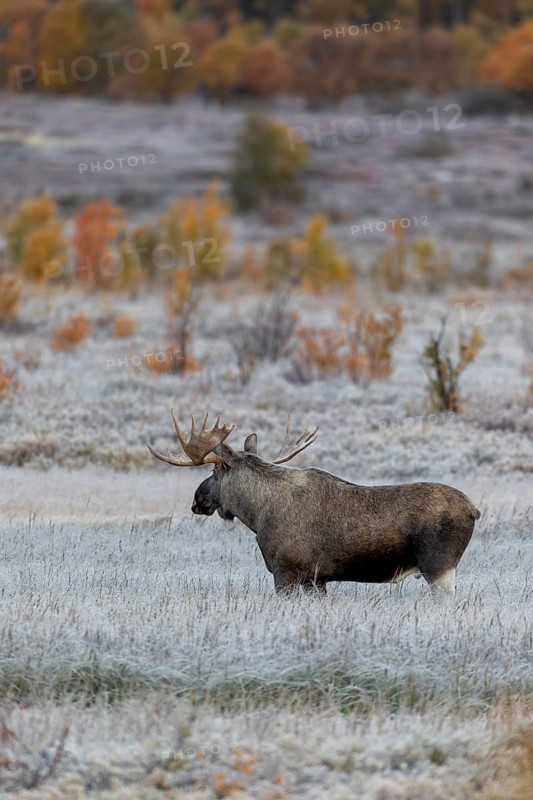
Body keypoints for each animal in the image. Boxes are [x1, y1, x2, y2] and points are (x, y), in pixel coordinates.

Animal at [148, 412, 480, 597]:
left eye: (215, 471)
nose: (197, 500)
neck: (256, 513)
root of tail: (474, 510)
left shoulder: (285, 571)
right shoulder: (316, 579)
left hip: (439, 566)